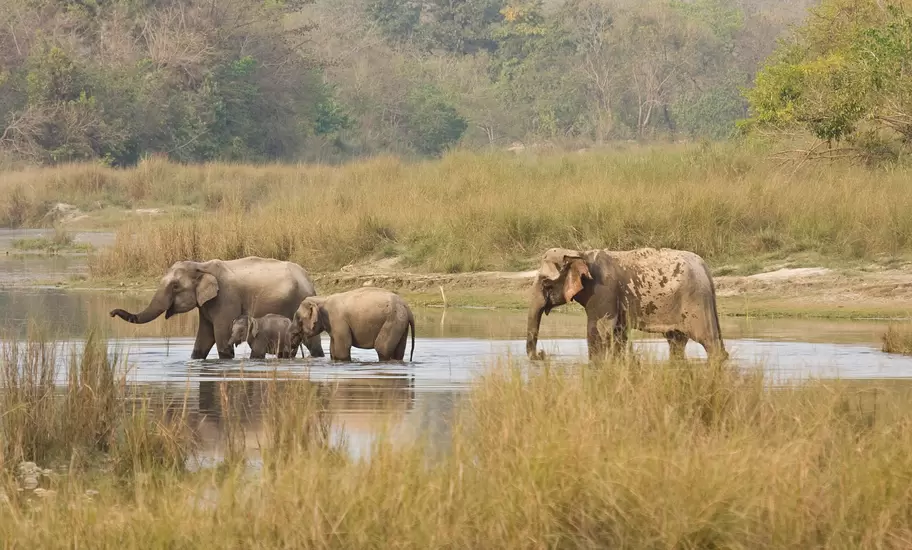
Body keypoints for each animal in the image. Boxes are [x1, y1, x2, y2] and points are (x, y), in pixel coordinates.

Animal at [109, 257, 325, 360]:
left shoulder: (226, 299)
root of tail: (309, 280)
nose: (111, 313)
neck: (201, 265)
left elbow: (221, 339)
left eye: (175, 286)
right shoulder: (206, 305)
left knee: (312, 343)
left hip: (300, 303)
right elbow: (203, 341)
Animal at [526, 247, 728, 362]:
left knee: (707, 340)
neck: (579, 254)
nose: (542, 355)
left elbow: (598, 330)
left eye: (545, 283)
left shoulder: (603, 291)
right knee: (676, 341)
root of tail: (705, 267)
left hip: (696, 302)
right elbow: (618, 333)